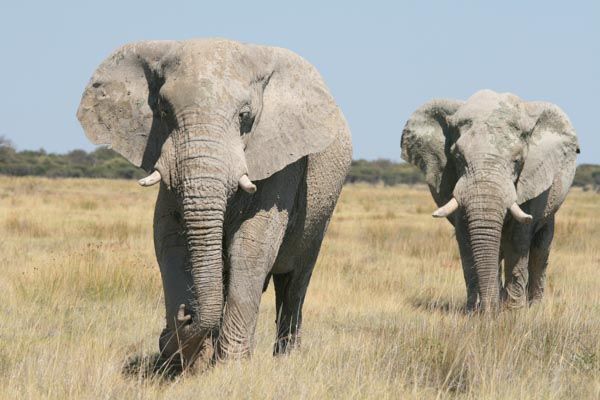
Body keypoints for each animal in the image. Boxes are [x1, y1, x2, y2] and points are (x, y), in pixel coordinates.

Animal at [400, 90, 580, 312]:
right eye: (458, 158)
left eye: (517, 161)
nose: (488, 311)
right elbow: (466, 238)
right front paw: (475, 311)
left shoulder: (531, 181)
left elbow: (518, 238)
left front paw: (513, 311)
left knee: (540, 249)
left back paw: (533, 307)